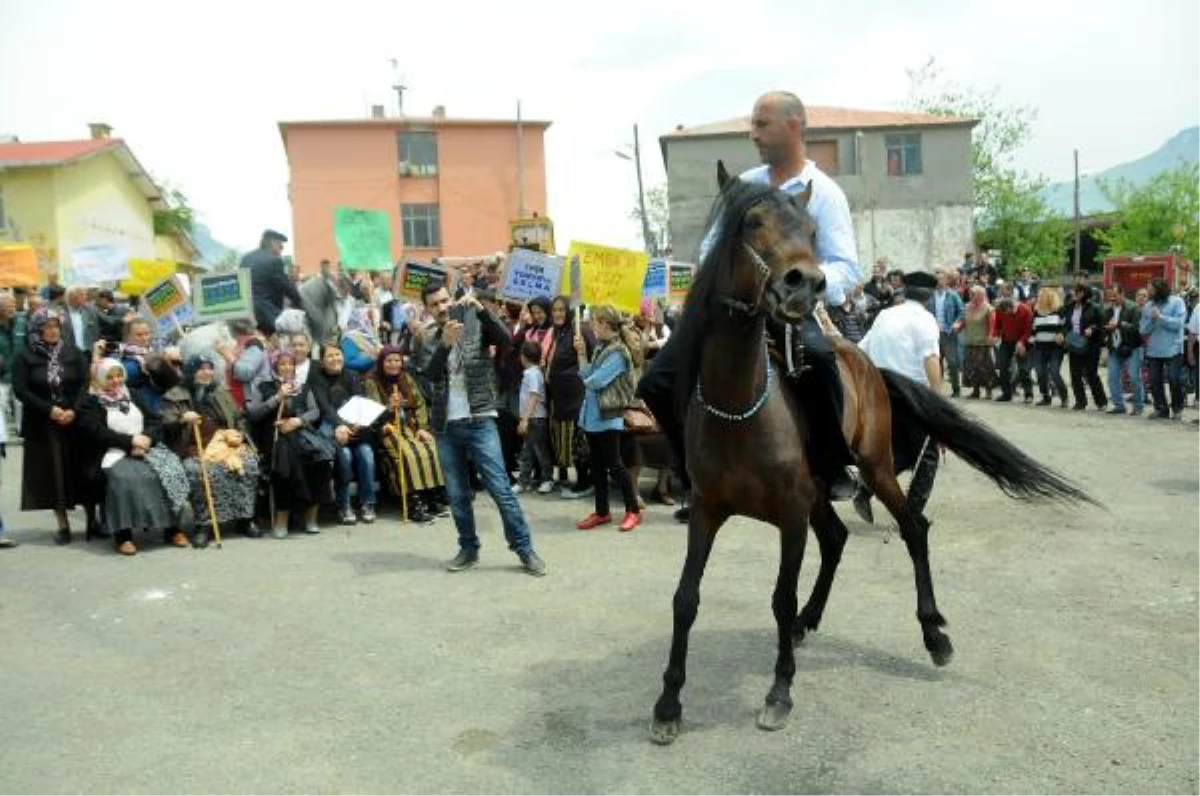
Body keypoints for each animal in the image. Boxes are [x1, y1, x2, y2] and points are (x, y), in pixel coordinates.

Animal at [652, 164, 1094, 744]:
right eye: (751, 223)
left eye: (813, 232)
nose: (805, 283)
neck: (739, 405)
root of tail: (868, 363)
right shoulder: (708, 508)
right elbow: (684, 598)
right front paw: (668, 703)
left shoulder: (790, 515)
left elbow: (779, 598)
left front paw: (779, 692)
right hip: (821, 489)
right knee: (838, 539)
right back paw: (810, 621)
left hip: (876, 468)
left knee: (913, 529)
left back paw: (934, 635)